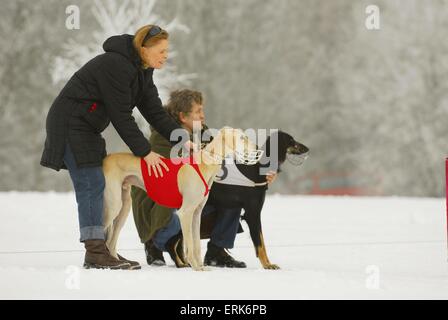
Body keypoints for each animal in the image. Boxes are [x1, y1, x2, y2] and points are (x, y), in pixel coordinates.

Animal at [101, 126, 262, 272]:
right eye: (242, 138)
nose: (257, 148)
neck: (204, 164)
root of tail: (106, 159)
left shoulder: (196, 214)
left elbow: (196, 244)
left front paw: (201, 267)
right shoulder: (185, 213)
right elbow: (189, 243)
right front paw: (195, 267)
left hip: (124, 207)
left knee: (111, 242)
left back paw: (120, 264)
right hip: (113, 206)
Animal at [201, 131, 310, 268]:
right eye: (291, 140)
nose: (307, 148)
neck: (258, 167)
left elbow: (261, 241)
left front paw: (268, 264)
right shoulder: (253, 213)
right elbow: (260, 243)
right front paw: (267, 265)